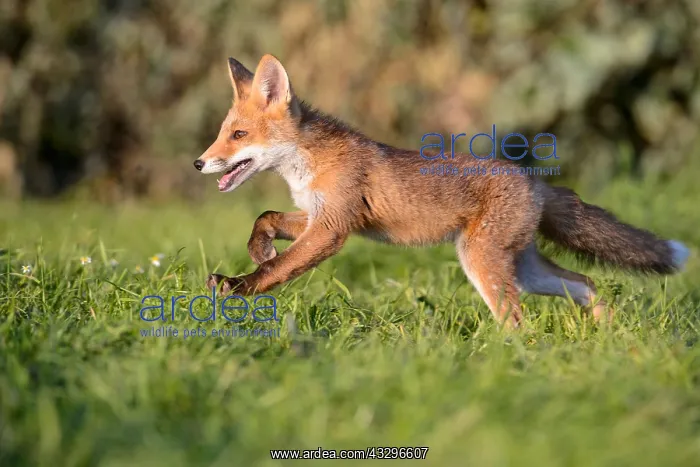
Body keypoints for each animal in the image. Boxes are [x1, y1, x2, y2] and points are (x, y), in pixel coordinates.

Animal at [193, 54, 690, 328]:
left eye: (237, 135)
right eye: (222, 134)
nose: (199, 162)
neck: (309, 164)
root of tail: (534, 182)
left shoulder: (332, 229)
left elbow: (277, 271)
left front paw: (238, 286)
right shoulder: (318, 216)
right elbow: (267, 219)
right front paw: (259, 248)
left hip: (481, 261)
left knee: (518, 322)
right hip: (523, 269)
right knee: (585, 284)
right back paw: (610, 341)